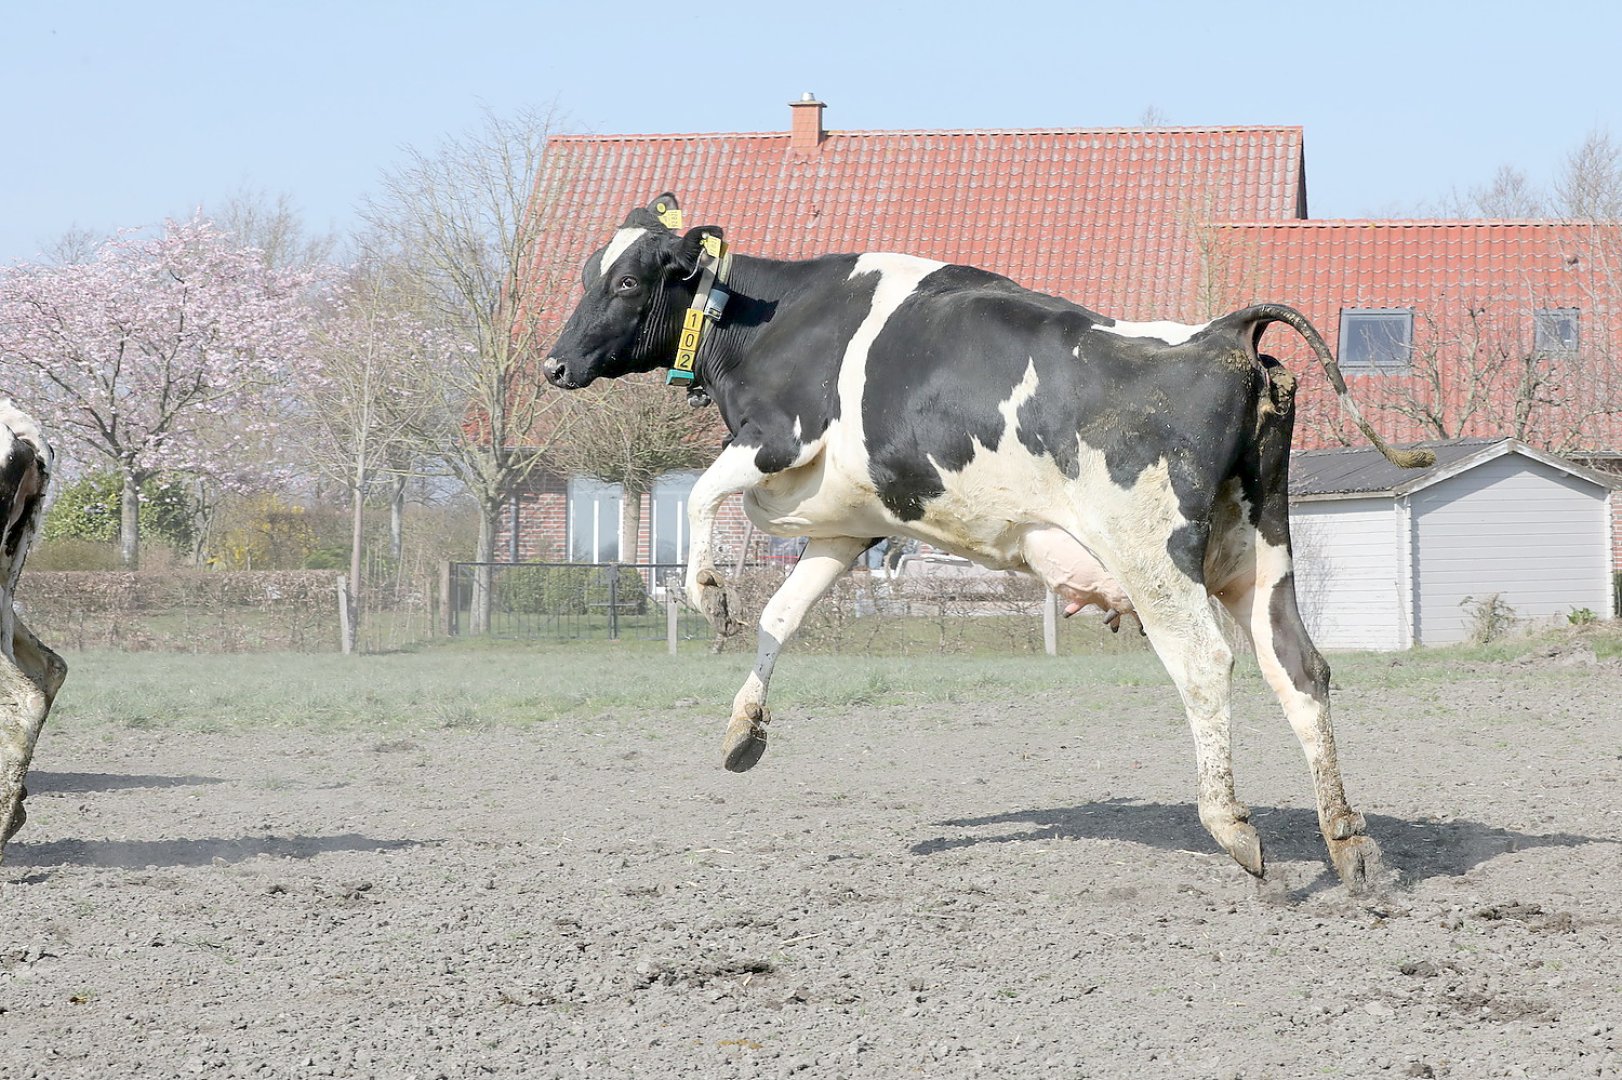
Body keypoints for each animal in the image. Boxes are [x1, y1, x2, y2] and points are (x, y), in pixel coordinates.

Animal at [542, 193, 1433, 888]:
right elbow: (781, 617)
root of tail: (1222, 331)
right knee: (1300, 670)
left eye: (627, 281)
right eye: (589, 275)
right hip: (1259, 556)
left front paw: (706, 595)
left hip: (1154, 557)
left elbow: (700, 498)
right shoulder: (847, 524)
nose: (553, 366)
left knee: (1206, 665)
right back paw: (1349, 844)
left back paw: (1233, 827)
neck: (775, 323)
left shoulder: (775, 440)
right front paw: (744, 730)